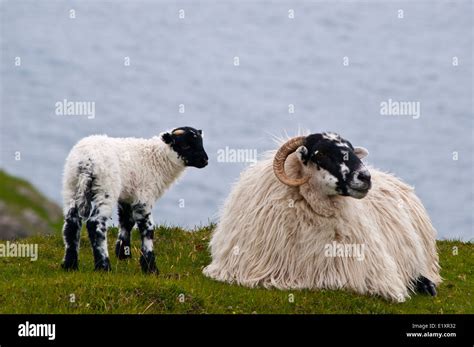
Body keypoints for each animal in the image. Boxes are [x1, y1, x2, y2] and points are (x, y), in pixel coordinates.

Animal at [59, 126, 207, 274]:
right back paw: (103, 266)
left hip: (71, 186)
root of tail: (86, 163)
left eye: (201, 142)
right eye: (185, 145)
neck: (158, 159)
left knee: (72, 223)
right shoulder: (144, 197)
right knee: (95, 224)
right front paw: (150, 267)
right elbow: (147, 229)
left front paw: (123, 254)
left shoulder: (128, 196)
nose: (205, 160)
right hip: (105, 189)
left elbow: (126, 222)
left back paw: (70, 265)